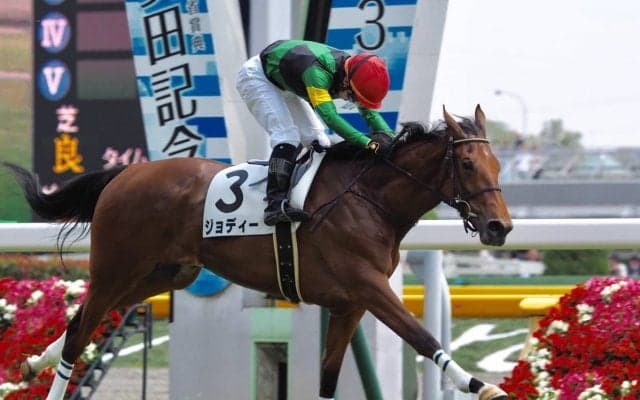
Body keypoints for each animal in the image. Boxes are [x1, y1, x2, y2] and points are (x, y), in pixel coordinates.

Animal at [6, 105, 512, 400]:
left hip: (165, 273)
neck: (371, 199)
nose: (500, 227)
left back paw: (35, 362)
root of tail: (124, 175)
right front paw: (481, 385)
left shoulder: (348, 304)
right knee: (79, 332)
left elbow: (328, 378)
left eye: (497, 164)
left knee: (79, 322)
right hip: (117, 267)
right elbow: (421, 337)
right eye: (467, 163)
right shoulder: (367, 285)